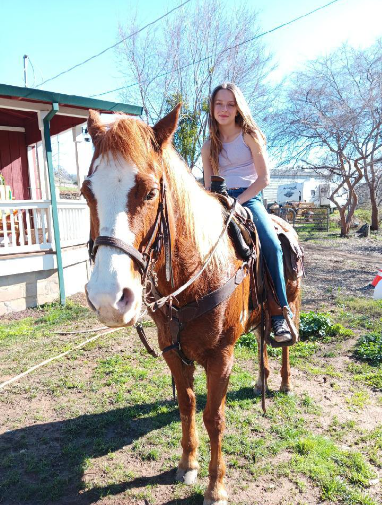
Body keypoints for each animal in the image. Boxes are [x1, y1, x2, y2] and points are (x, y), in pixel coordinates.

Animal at [81, 105, 302, 504]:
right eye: (86, 192)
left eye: (151, 192)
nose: (109, 298)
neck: (197, 272)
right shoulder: (172, 352)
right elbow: (187, 405)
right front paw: (187, 464)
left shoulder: (221, 357)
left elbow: (214, 417)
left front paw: (216, 486)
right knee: (261, 338)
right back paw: (261, 381)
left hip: (293, 302)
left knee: (285, 340)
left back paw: (284, 381)